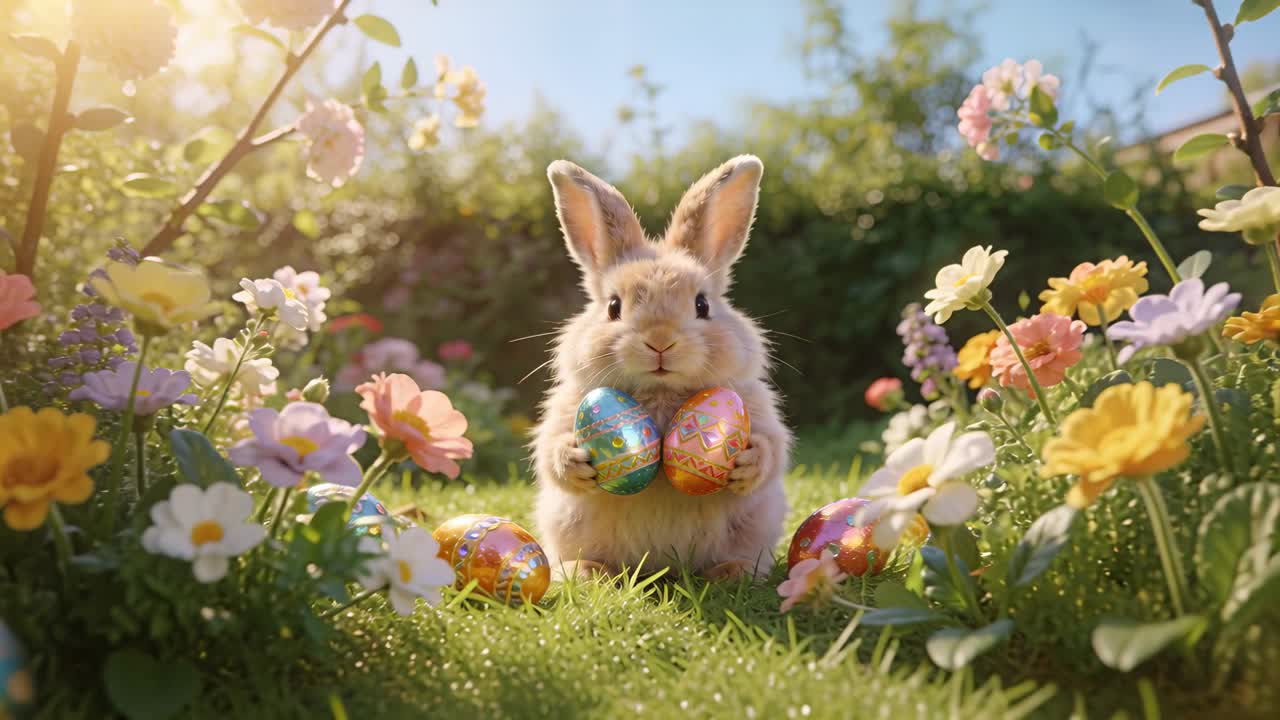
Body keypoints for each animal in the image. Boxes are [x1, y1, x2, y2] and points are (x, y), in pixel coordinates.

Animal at [531, 155, 792, 582]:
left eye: (702, 304)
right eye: (613, 307)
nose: (660, 341)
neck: (661, 391)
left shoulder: (757, 409)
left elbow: (772, 450)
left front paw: (746, 462)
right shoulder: (566, 408)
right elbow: (550, 450)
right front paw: (575, 461)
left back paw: (732, 572)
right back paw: (585, 572)